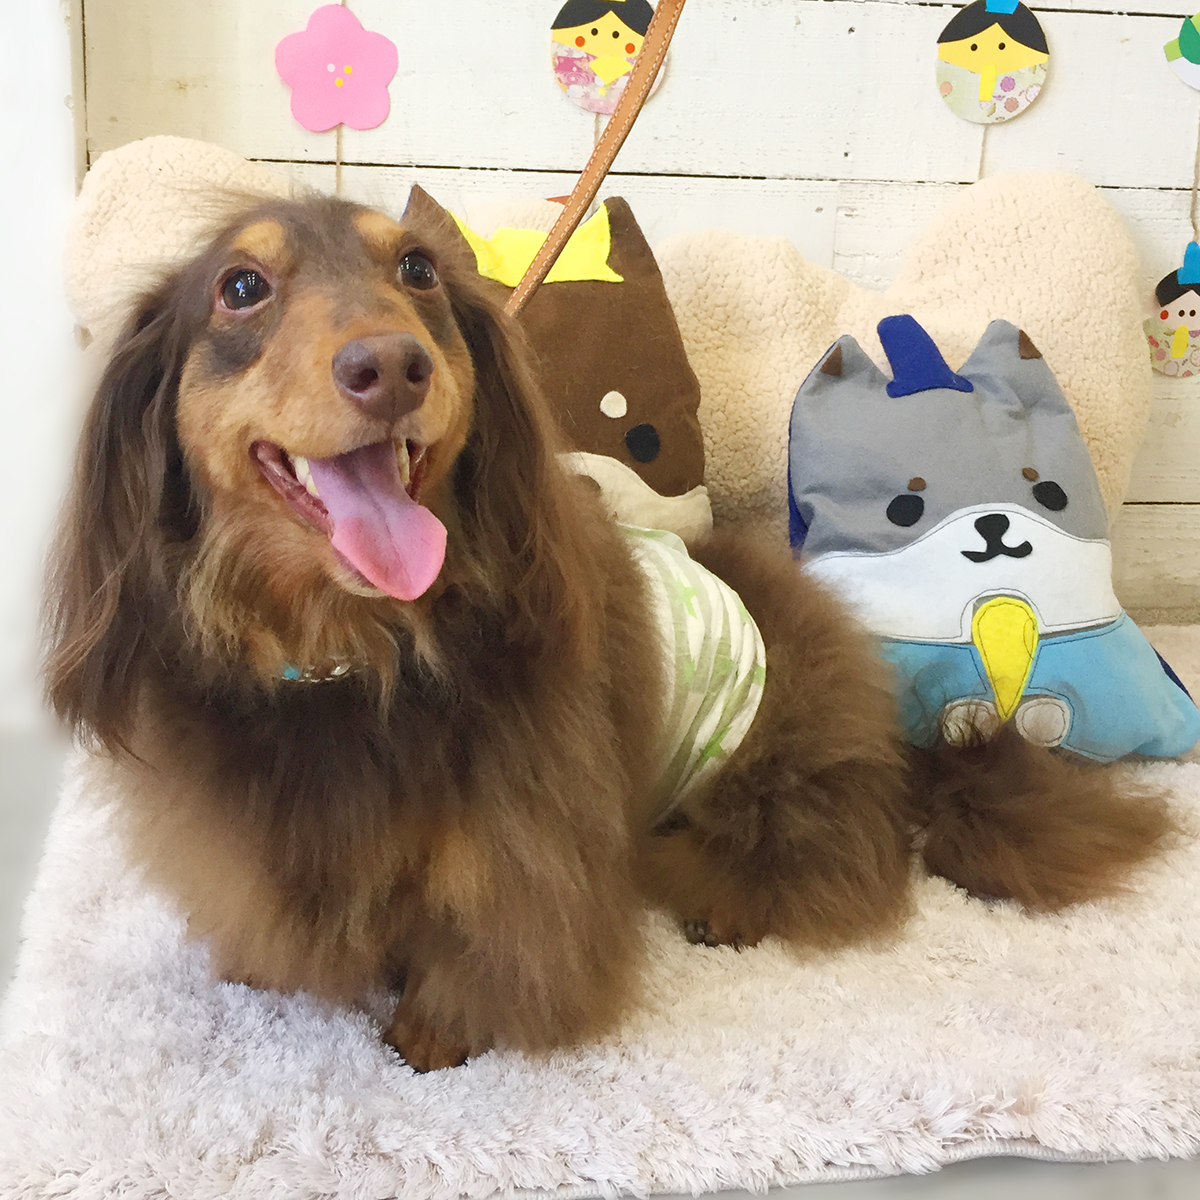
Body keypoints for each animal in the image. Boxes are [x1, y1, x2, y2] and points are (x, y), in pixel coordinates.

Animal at [43, 188, 1173, 1071]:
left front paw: (438, 1025)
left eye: (416, 269)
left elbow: (494, 933)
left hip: (771, 767)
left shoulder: (527, 834)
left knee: (833, 854)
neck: (352, 651)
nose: (392, 366)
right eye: (240, 288)